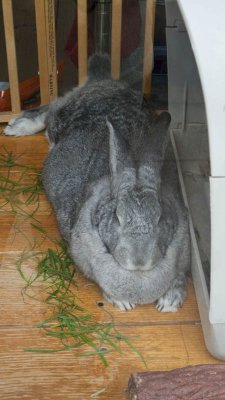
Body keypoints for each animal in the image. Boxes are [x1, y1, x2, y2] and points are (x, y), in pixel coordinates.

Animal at [4, 53, 190, 310]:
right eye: (117, 217)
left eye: (160, 217)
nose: (139, 260)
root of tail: (102, 81)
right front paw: (122, 302)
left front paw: (169, 302)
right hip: (61, 118)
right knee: (52, 106)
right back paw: (17, 126)